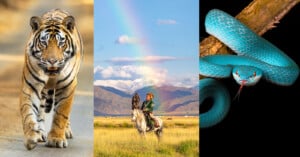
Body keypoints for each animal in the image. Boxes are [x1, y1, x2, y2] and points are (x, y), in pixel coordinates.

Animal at [19, 8, 83, 150]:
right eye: (44, 42)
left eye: (61, 43)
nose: (52, 61)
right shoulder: (30, 86)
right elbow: (28, 113)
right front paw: (31, 136)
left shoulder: (67, 86)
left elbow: (61, 114)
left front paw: (56, 139)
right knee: (41, 111)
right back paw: (41, 132)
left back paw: (66, 131)